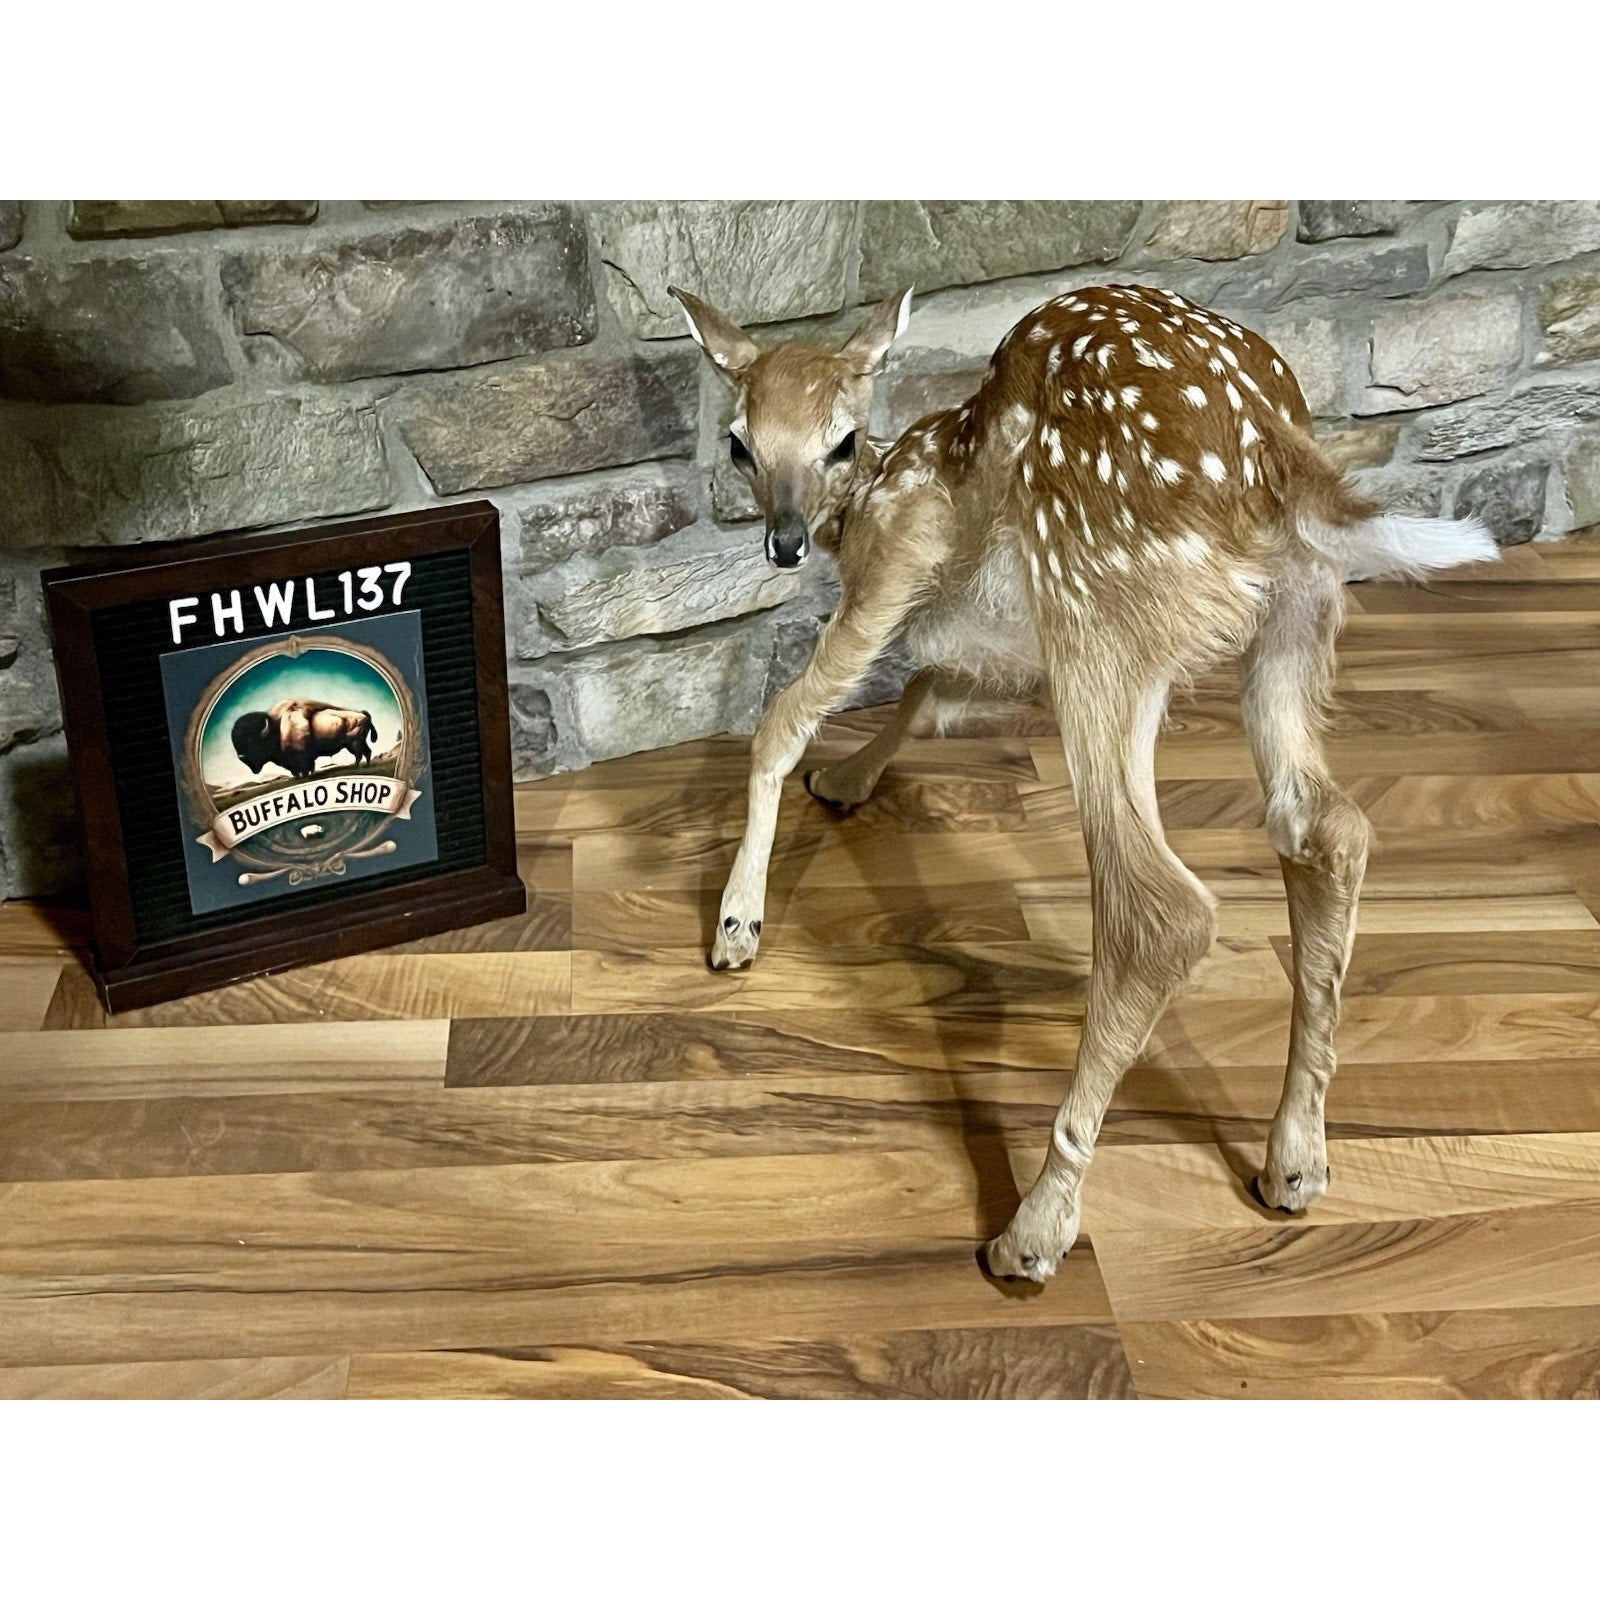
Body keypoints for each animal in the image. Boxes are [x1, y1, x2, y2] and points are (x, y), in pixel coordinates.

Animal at [670, 278, 1496, 1286]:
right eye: (741, 442)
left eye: (840, 440)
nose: (784, 542)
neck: (879, 489)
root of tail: (1277, 452)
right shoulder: (992, 635)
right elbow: (928, 690)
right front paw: (849, 777)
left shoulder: (903, 564)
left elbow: (790, 717)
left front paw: (737, 923)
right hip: (1295, 614)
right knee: (1325, 829)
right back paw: (1296, 1159)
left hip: (1099, 605)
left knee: (1158, 905)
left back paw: (1033, 1229)